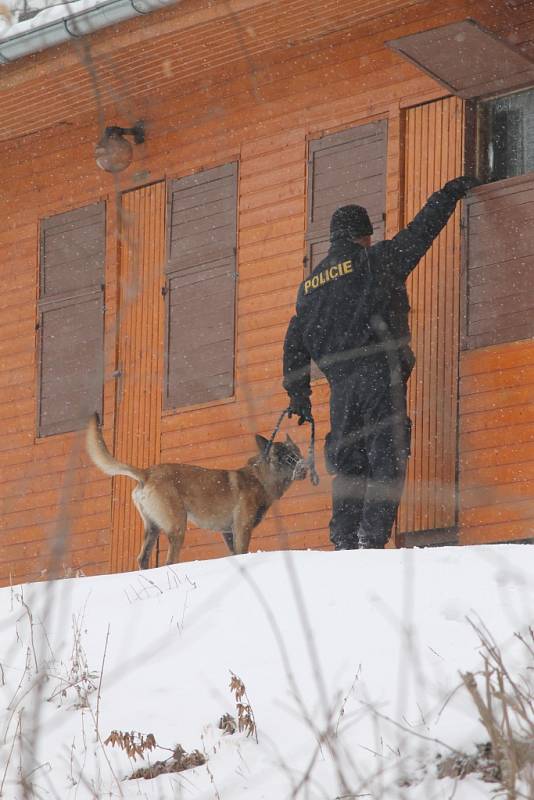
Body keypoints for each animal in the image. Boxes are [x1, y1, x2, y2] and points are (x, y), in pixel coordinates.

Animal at [86, 412, 308, 568]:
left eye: (295, 454)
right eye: (283, 457)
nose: (303, 468)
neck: (259, 477)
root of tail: (147, 473)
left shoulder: (228, 533)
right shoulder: (242, 528)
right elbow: (242, 551)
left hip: (153, 528)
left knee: (143, 559)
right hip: (177, 525)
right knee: (169, 561)